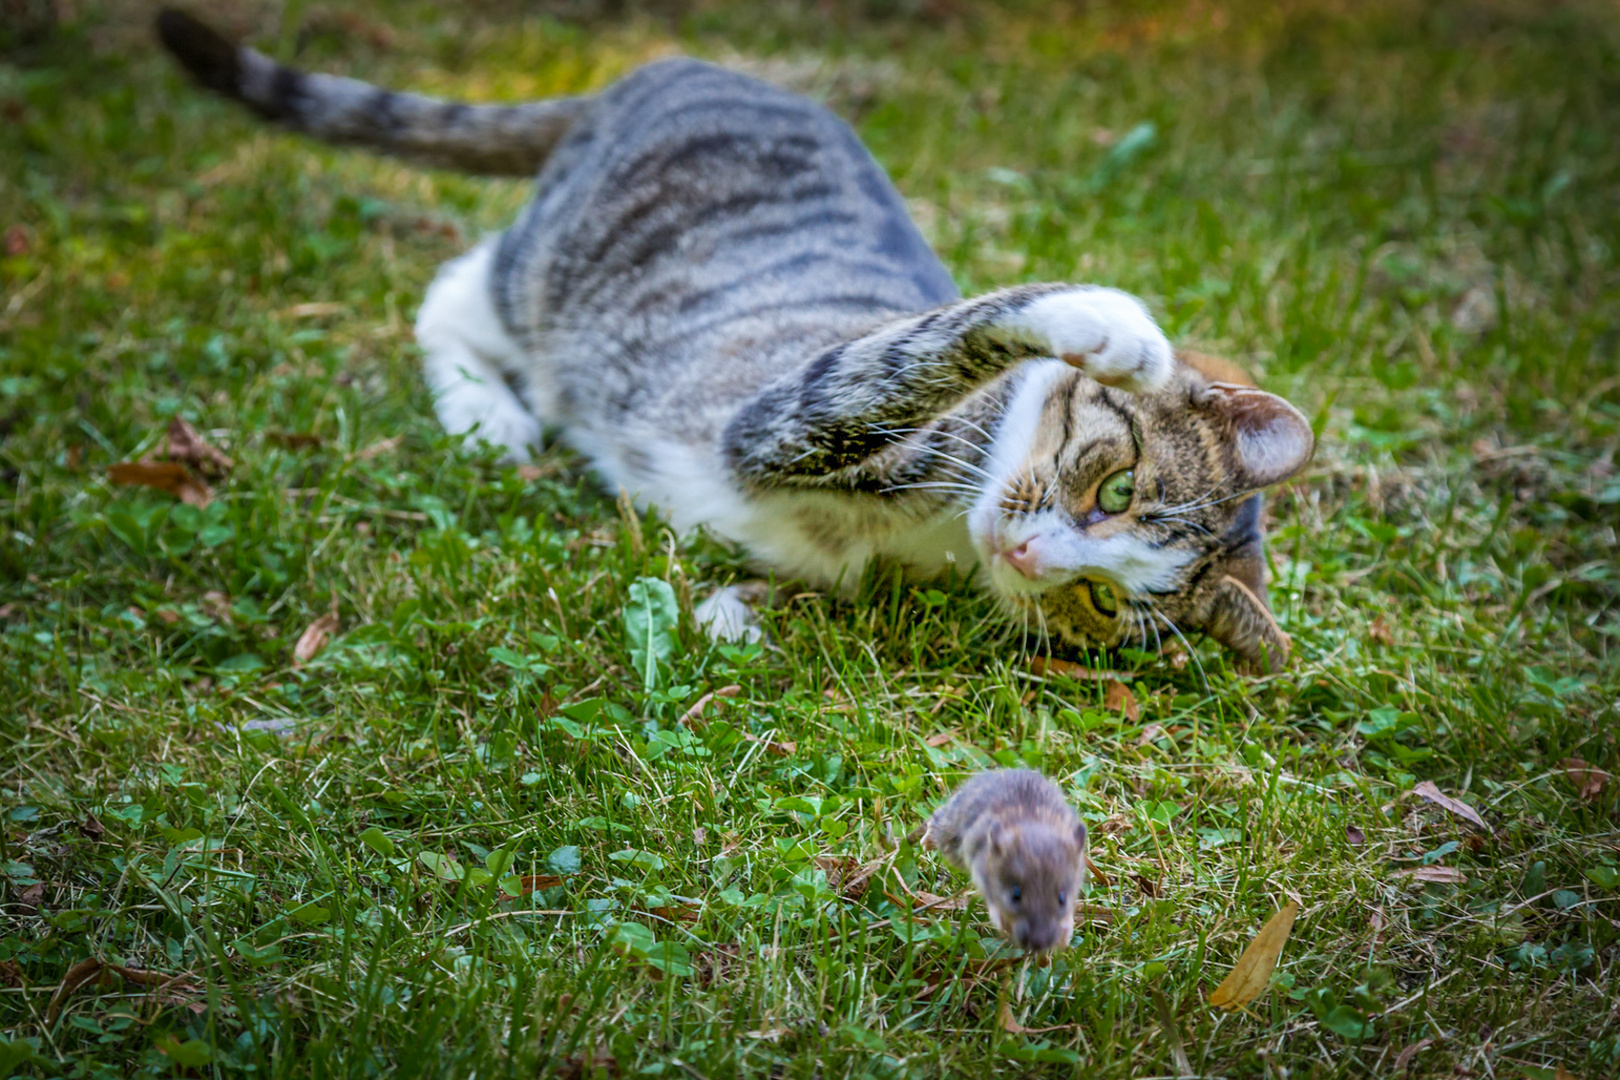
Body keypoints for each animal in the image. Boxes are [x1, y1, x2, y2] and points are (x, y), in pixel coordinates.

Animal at [154, 12, 1315, 676]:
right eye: (1115, 487)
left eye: (1103, 601)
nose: (1036, 556)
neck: (946, 526)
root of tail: (661, 71)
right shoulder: (785, 412)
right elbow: (930, 343)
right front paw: (1111, 320)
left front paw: (732, 614)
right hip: (551, 268)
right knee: (456, 287)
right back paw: (489, 411)